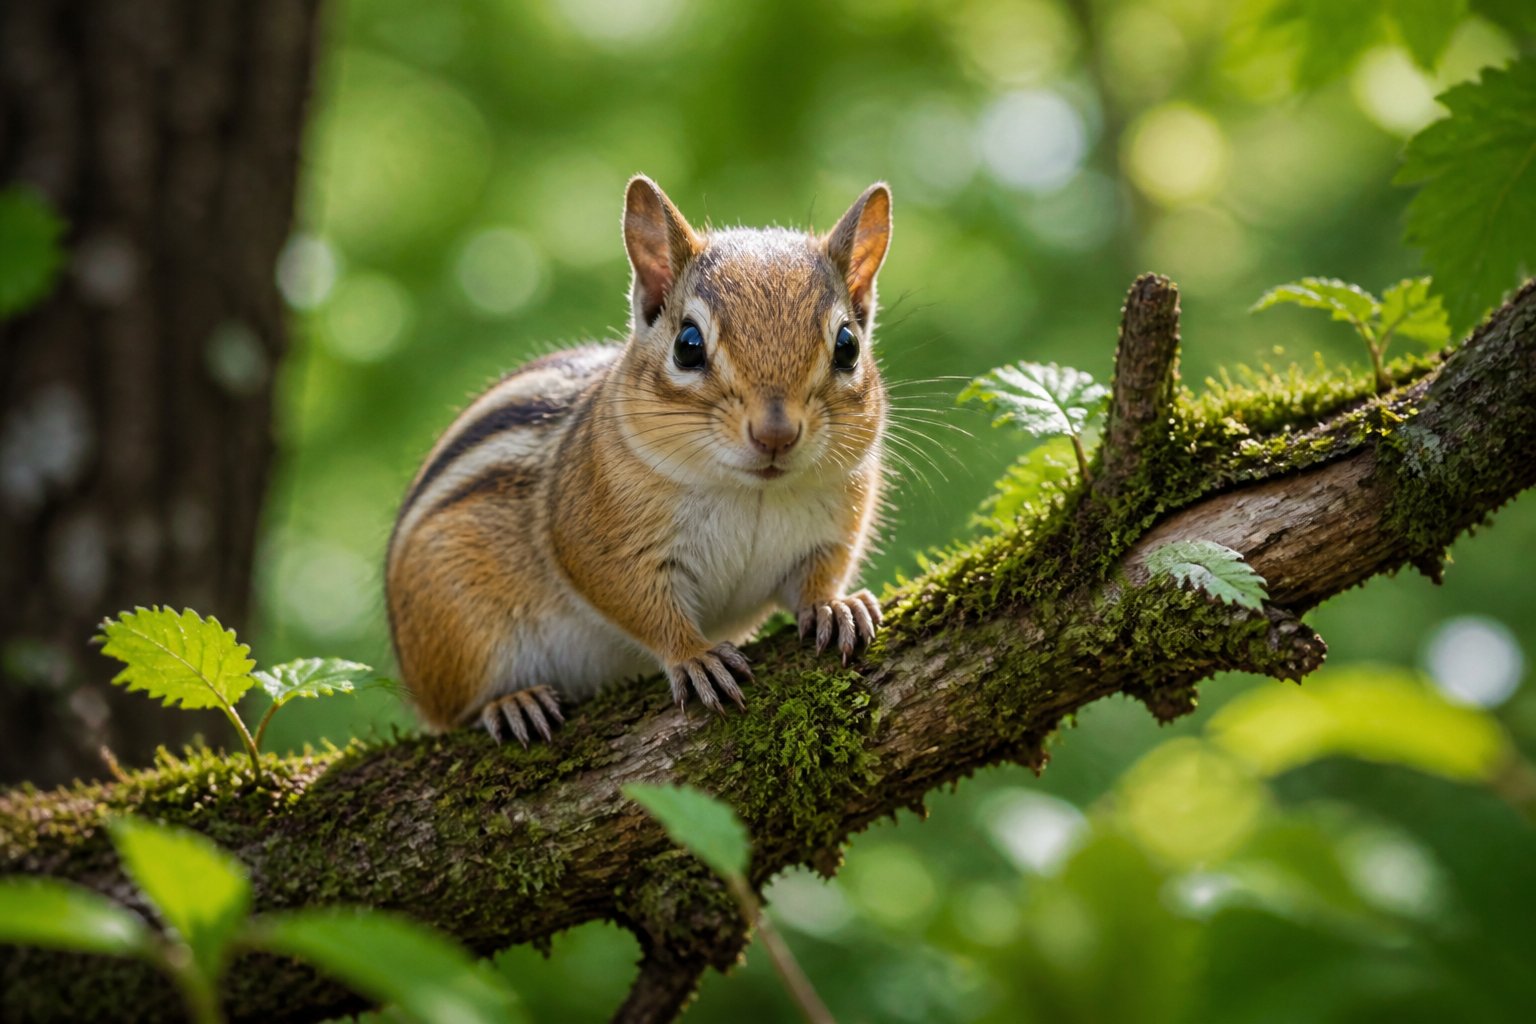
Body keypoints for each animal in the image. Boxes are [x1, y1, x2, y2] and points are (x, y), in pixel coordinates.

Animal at [385, 175, 893, 745]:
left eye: (847, 346)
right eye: (688, 345)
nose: (775, 434)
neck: (751, 492)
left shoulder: (833, 529)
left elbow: (819, 575)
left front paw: (835, 605)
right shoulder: (600, 542)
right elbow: (643, 607)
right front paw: (694, 657)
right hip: (457, 632)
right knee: (455, 713)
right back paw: (512, 702)